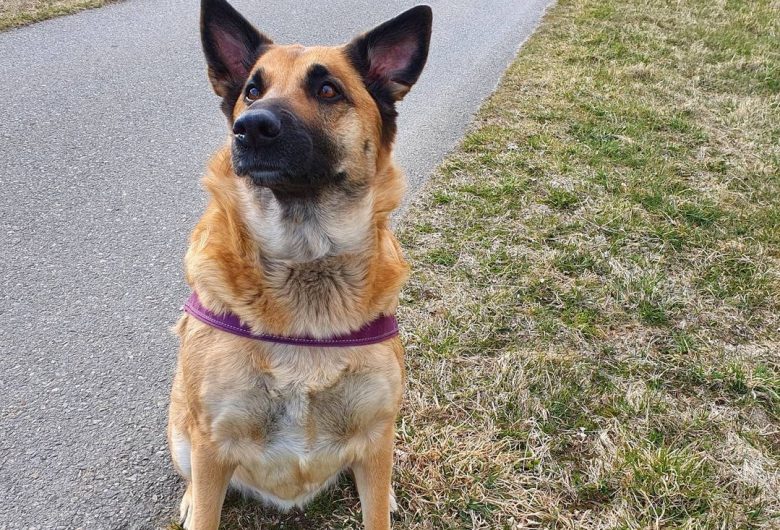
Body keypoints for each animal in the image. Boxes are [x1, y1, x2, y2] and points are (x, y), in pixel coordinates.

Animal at [166, 2, 432, 524]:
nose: (249, 127)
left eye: (327, 90)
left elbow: (376, 511)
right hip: (182, 432)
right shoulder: (211, 445)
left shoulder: (377, 429)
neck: (307, 262)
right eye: (252, 90)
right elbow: (207, 507)